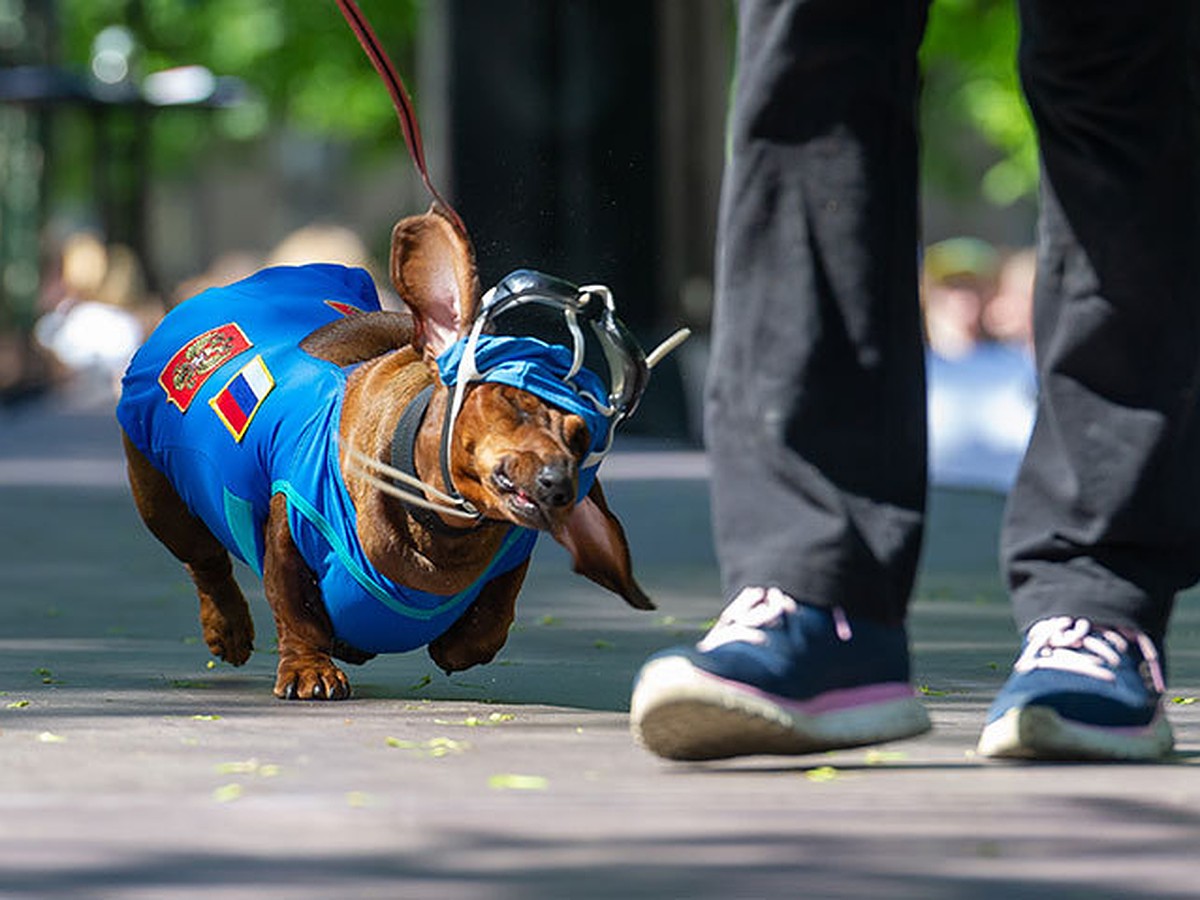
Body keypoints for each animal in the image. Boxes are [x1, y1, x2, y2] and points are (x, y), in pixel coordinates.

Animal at [117, 207, 652, 700]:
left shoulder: (512, 555)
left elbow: (489, 621)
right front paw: (309, 669)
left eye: (581, 437)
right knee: (205, 561)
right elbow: (296, 609)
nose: (557, 485)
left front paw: (455, 645)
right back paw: (227, 627)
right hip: (162, 502)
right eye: (511, 400)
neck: (437, 523)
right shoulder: (289, 530)